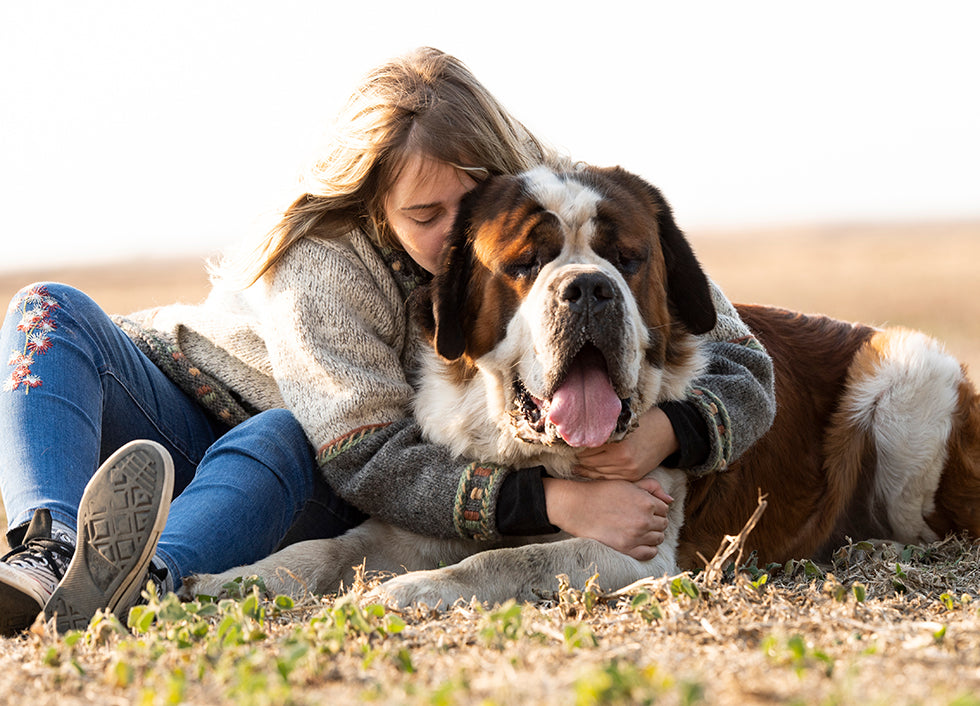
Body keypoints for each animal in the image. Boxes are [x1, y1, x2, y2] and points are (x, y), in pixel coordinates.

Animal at [182, 164, 980, 604]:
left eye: (627, 258)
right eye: (526, 263)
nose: (589, 289)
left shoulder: (632, 546)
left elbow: (507, 558)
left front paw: (408, 591)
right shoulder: (425, 513)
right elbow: (327, 549)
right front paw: (228, 580)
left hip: (910, 373)